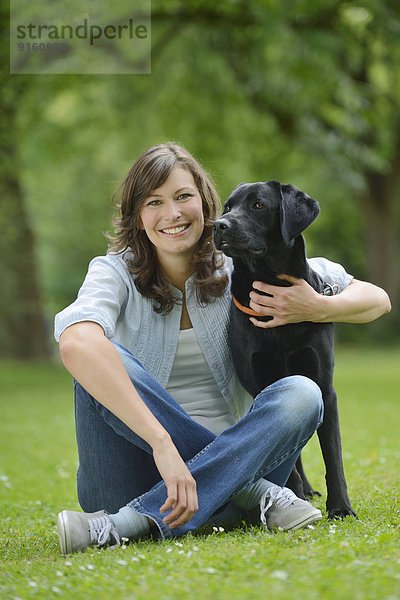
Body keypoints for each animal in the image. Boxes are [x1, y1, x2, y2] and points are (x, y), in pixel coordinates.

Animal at [214, 179, 358, 520]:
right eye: (228, 206)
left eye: (258, 205)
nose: (218, 225)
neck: (272, 284)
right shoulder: (261, 384)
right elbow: (284, 456)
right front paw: (294, 495)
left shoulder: (324, 387)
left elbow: (333, 456)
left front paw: (341, 508)